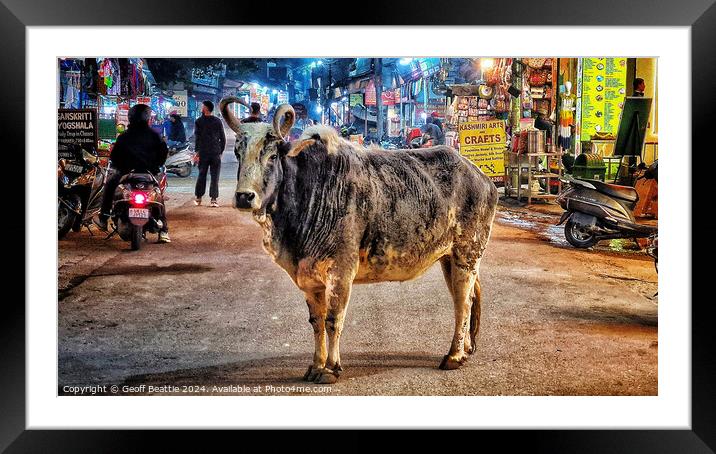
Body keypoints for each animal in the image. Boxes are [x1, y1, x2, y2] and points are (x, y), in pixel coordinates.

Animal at [220, 98, 498, 384]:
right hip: (449, 259)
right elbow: (317, 322)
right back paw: (465, 350)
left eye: (273, 155)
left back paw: (453, 356)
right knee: (468, 297)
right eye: (239, 153)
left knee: (463, 302)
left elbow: (333, 320)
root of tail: (480, 176)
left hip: (467, 254)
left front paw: (331, 368)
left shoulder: (341, 271)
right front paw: (316, 365)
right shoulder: (310, 278)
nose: (244, 197)